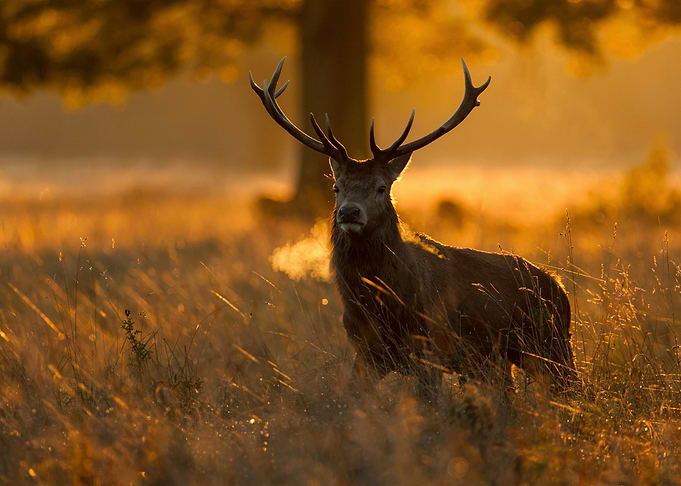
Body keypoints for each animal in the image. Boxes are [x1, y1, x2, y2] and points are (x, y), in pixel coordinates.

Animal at [250, 58, 578, 401]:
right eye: (337, 187)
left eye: (381, 187)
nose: (349, 212)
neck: (384, 304)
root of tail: (560, 287)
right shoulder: (366, 352)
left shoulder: (429, 348)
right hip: (499, 361)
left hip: (553, 346)